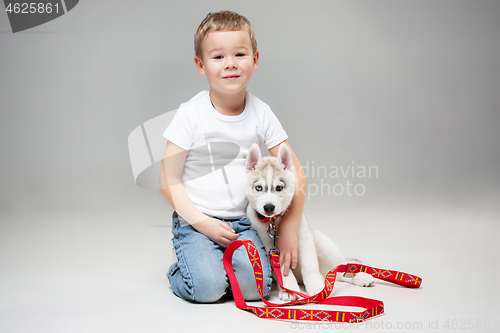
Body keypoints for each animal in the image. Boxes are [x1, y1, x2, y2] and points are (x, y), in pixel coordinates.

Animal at [244, 143, 374, 300]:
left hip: (324, 246)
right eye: (259, 188)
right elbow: (283, 270)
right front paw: (288, 289)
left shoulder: (302, 236)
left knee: (341, 268)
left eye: (279, 187)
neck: (274, 222)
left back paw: (359, 276)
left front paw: (315, 286)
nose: (269, 207)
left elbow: (309, 264)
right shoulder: (269, 245)